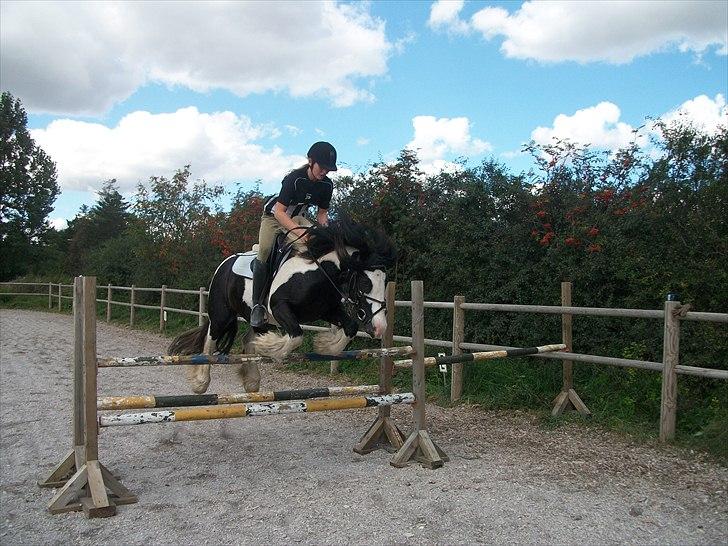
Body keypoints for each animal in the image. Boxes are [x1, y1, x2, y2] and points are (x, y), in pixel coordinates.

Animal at [169, 216, 398, 392]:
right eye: (365, 282)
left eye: (385, 281)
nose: (380, 327)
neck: (317, 272)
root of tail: (224, 265)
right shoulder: (280, 308)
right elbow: (296, 336)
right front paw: (270, 347)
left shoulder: (327, 310)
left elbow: (349, 328)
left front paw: (325, 346)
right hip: (222, 314)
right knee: (210, 341)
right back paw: (201, 382)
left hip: (258, 318)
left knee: (246, 338)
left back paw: (252, 381)